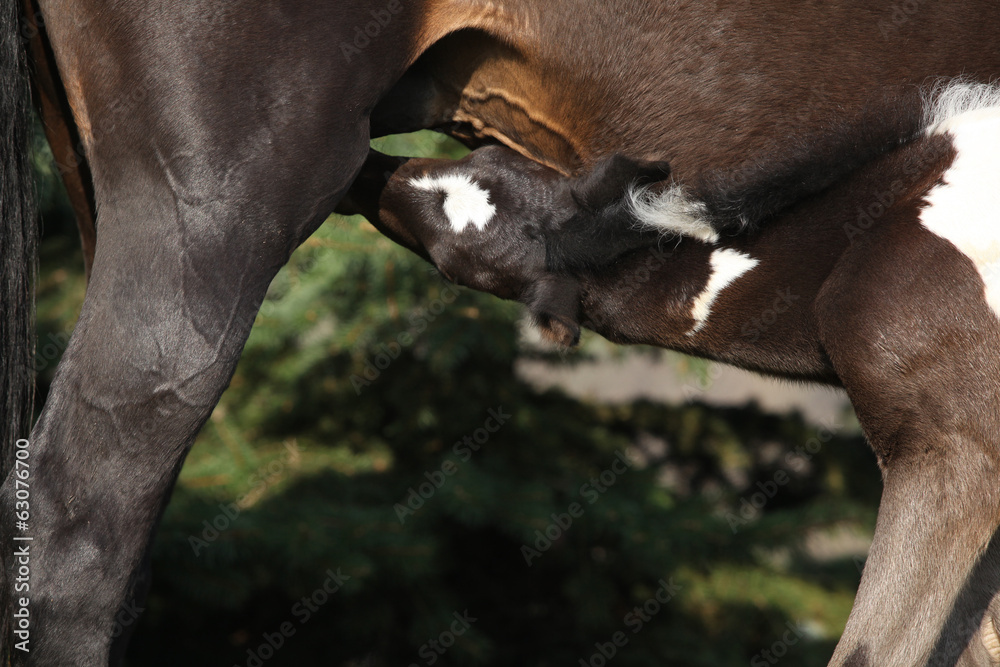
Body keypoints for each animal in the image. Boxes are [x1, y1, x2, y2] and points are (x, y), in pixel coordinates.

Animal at [5, 0, 1000, 663]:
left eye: (470, 253)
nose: (370, 172)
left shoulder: (953, 453)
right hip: (211, 202)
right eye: (483, 156)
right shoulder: (950, 452)